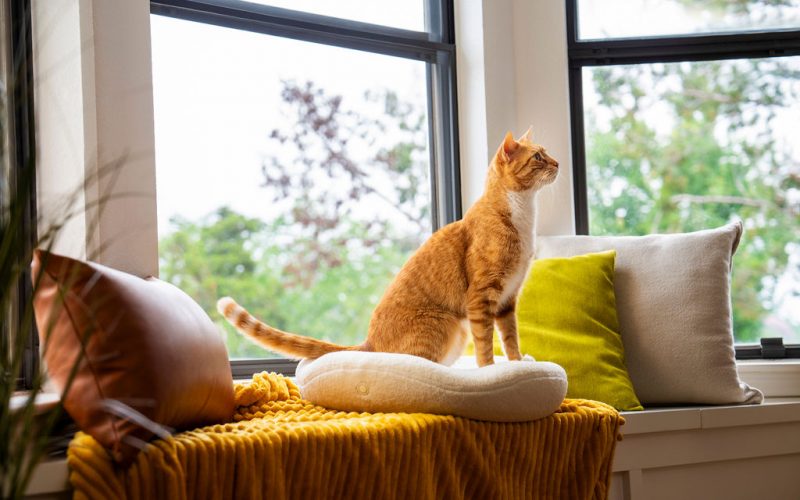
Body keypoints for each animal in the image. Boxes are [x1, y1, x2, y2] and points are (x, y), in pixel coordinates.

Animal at [219, 129, 556, 366]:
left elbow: (510, 338)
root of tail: (370, 342)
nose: (557, 162)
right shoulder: (482, 295)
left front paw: (518, 364)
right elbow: (486, 342)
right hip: (445, 323)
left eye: (547, 154)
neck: (524, 216)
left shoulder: (508, 300)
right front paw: (490, 371)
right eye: (538, 157)